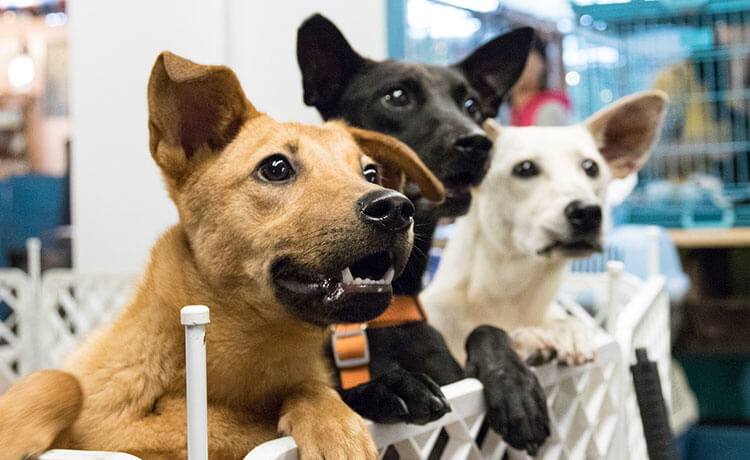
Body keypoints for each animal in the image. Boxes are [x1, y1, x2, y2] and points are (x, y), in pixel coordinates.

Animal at [0, 52, 444, 460]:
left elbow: (309, 386)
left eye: (370, 173)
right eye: (276, 167)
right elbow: (60, 381)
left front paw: (344, 418)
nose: (396, 208)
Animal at [298, 14, 552, 452]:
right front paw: (387, 386)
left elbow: (486, 329)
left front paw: (516, 386)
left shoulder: (470, 431)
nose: (477, 143)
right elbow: (335, 395)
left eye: (472, 105)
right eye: (396, 96)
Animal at [424, 90, 668, 366]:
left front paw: (566, 331)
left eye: (591, 167)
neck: (511, 295)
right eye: (525, 168)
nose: (587, 212)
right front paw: (527, 338)